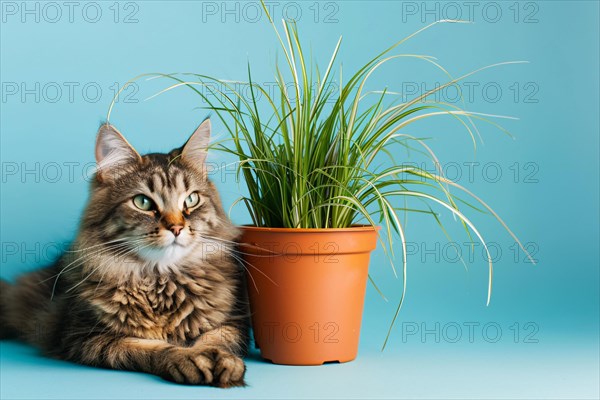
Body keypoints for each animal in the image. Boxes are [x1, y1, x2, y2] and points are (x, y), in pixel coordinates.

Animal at [0, 119, 248, 388]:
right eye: (143, 203)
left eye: (191, 200)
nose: (176, 228)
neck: (159, 282)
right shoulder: (85, 336)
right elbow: (148, 348)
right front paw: (186, 358)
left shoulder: (233, 321)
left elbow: (217, 339)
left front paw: (225, 361)